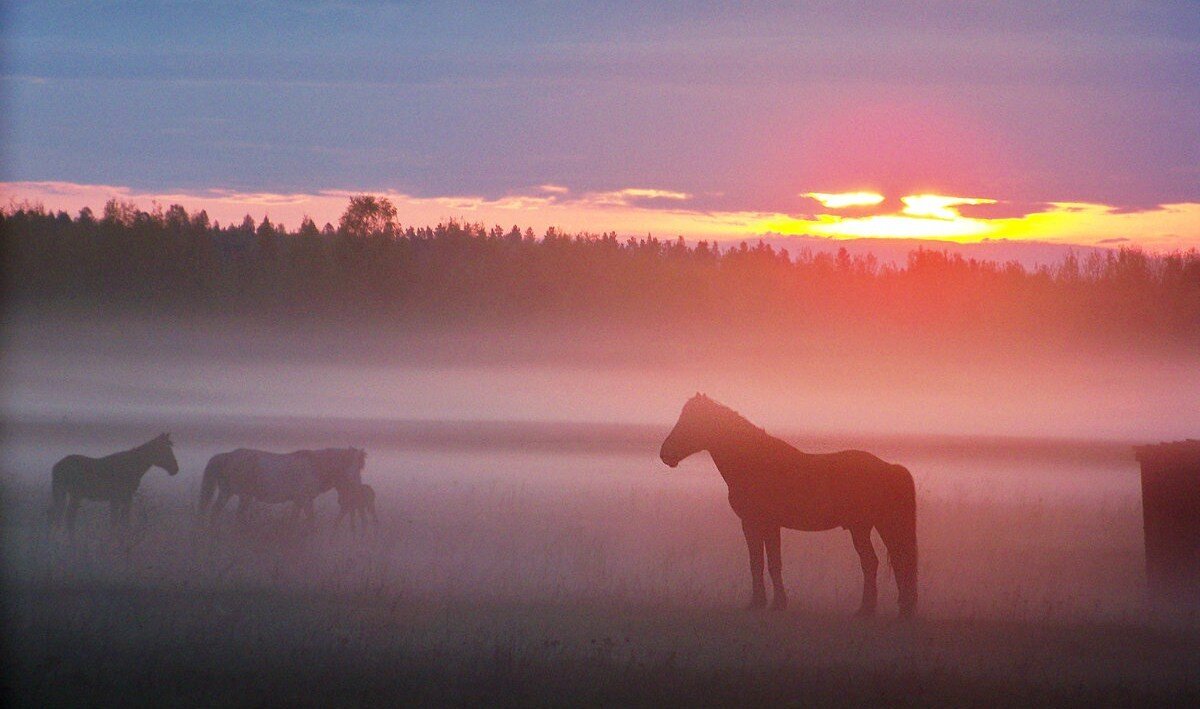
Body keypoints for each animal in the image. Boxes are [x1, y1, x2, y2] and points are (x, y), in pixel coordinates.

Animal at [48, 431, 180, 537]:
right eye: (165, 450)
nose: (175, 469)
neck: (133, 466)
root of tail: (57, 466)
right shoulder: (121, 497)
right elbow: (120, 521)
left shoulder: (118, 498)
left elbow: (119, 520)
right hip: (75, 495)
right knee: (68, 517)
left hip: (69, 494)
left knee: (64, 517)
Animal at [200, 446, 364, 530]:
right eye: (357, 467)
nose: (358, 487)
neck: (314, 467)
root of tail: (227, 456)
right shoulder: (305, 500)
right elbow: (311, 521)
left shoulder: (299, 501)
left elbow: (293, 520)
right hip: (239, 495)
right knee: (228, 514)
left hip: (229, 493)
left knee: (219, 512)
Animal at [657, 395, 916, 619]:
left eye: (691, 420)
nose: (665, 454)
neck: (754, 463)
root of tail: (890, 468)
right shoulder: (759, 525)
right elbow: (761, 563)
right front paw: (763, 602)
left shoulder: (760, 524)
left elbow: (768, 563)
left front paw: (772, 603)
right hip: (871, 527)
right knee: (885, 562)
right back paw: (885, 609)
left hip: (872, 527)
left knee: (886, 561)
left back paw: (880, 609)